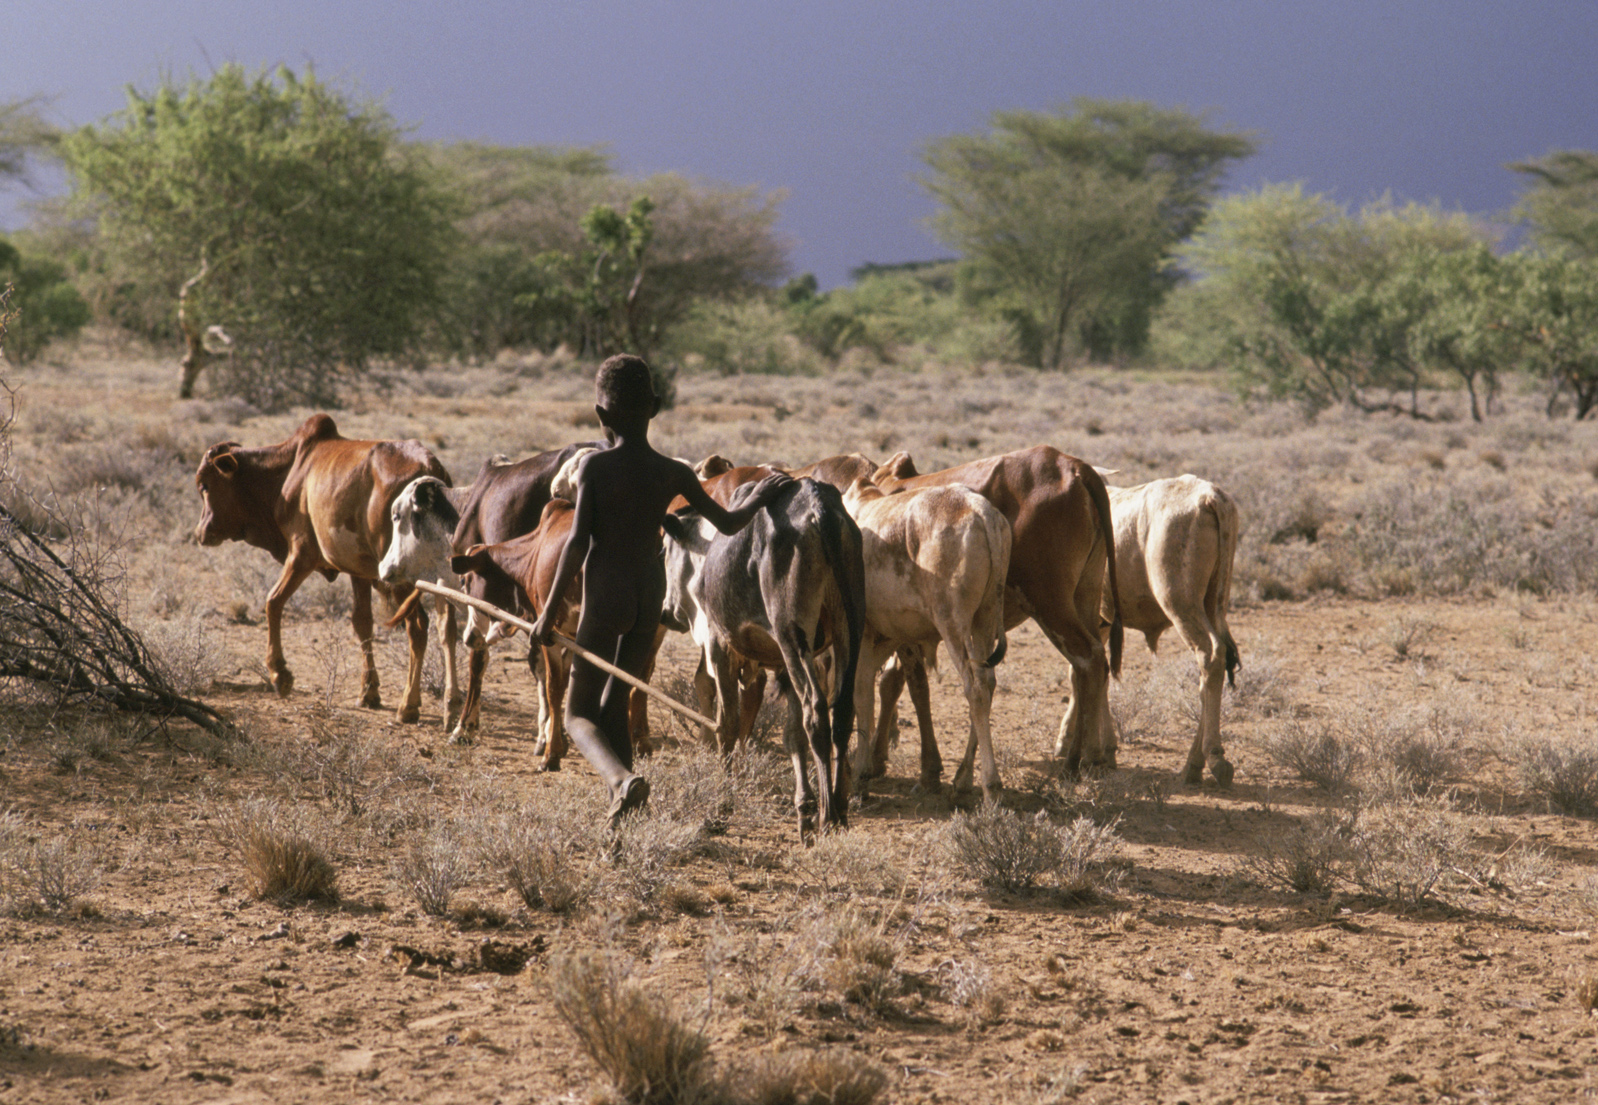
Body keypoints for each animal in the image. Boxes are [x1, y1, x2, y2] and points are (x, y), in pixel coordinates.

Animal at [197, 409, 457, 722]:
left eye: (204, 485)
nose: (201, 532)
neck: (290, 470)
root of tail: (431, 470)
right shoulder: (360, 571)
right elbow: (362, 623)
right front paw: (368, 691)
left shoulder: (301, 553)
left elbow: (273, 601)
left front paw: (280, 674)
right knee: (447, 627)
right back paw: (453, 707)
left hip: (402, 577)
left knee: (418, 627)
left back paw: (409, 705)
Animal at [658, 476, 862, 837]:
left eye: (666, 550)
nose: (666, 612)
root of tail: (816, 501)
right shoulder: (779, 665)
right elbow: (790, 734)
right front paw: (803, 808)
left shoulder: (720, 648)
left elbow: (728, 723)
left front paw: (724, 796)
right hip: (849, 628)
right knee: (840, 710)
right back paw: (837, 806)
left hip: (792, 634)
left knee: (816, 709)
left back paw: (828, 815)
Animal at [875, 447, 1124, 777]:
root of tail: (1075, 467)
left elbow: (901, 684)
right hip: (1085, 593)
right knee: (1094, 665)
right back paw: (1092, 753)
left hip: (1049, 602)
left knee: (1089, 659)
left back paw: (1078, 760)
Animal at [1105, 476, 1240, 786]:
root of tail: (1210, 496)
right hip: (1213, 605)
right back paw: (1193, 765)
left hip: (1181, 605)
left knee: (1210, 655)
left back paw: (1214, 758)